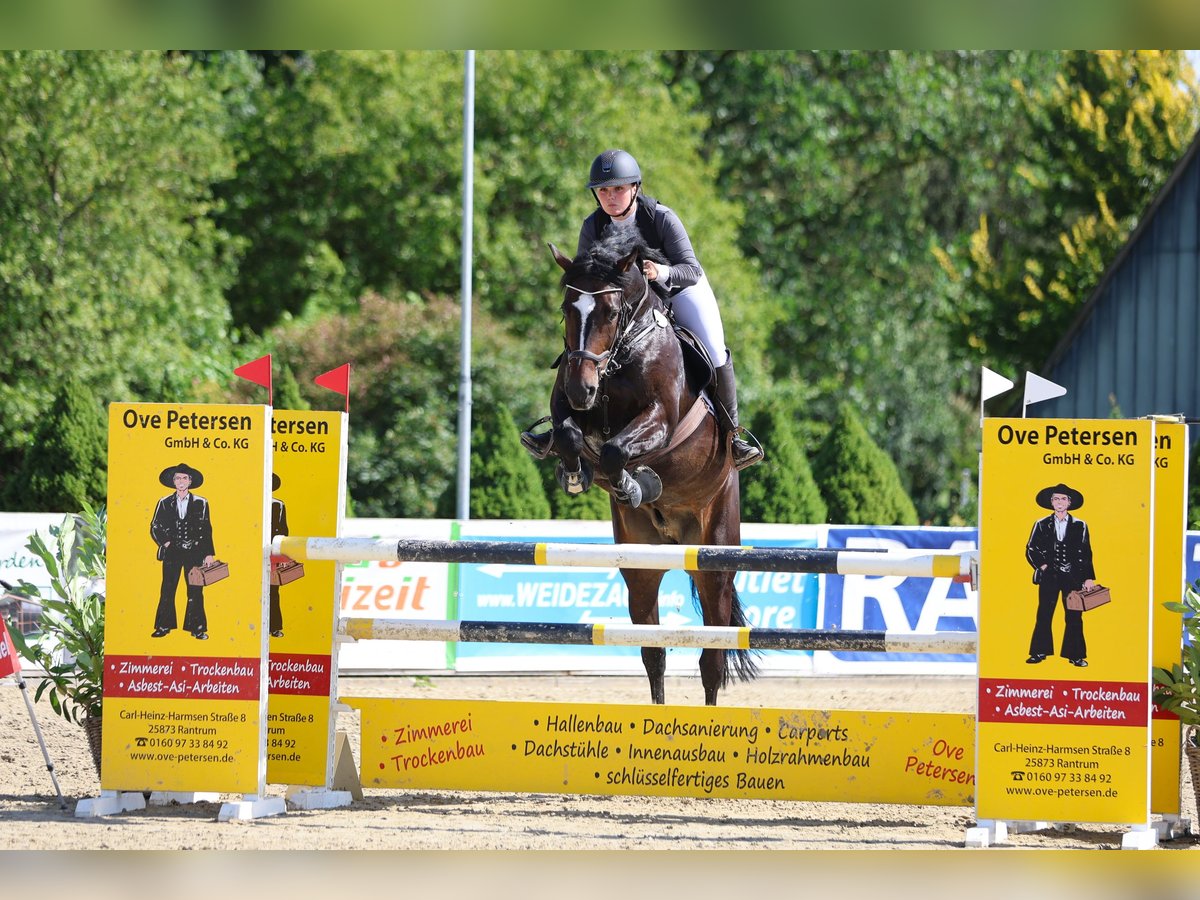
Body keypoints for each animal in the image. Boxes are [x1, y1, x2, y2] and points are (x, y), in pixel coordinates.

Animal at [535, 229, 758, 710]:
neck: (622, 353)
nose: (582, 389)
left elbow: (616, 449)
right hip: (640, 565)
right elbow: (570, 435)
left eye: (610, 311)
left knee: (712, 659)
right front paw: (576, 473)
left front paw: (632, 484)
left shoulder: (659, 420)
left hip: (715, 559)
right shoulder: (566, 406)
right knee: (654, 652)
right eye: (566, 309)